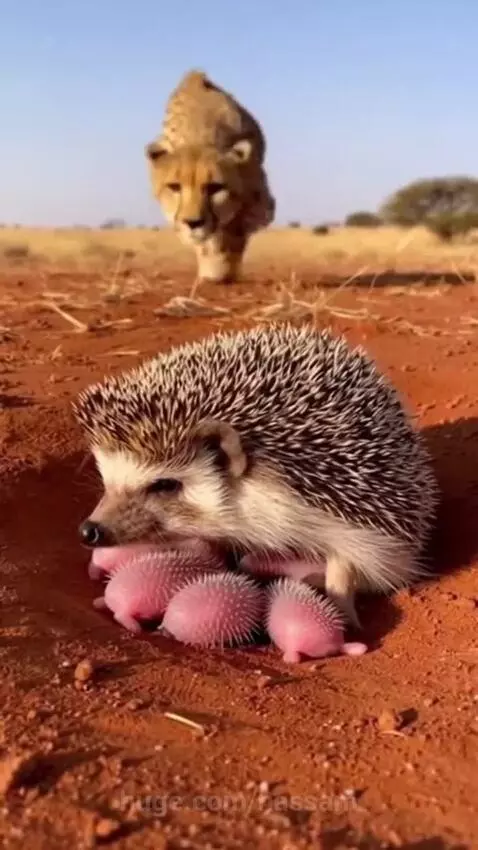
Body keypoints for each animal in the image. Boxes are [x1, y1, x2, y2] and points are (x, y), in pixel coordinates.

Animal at [145, 70, 275, 283]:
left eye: (215, 187)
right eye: (174, 187)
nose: (193, 223)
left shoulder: (259, 201)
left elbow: (236, 231)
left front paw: (223, 266)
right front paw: (213, 269)